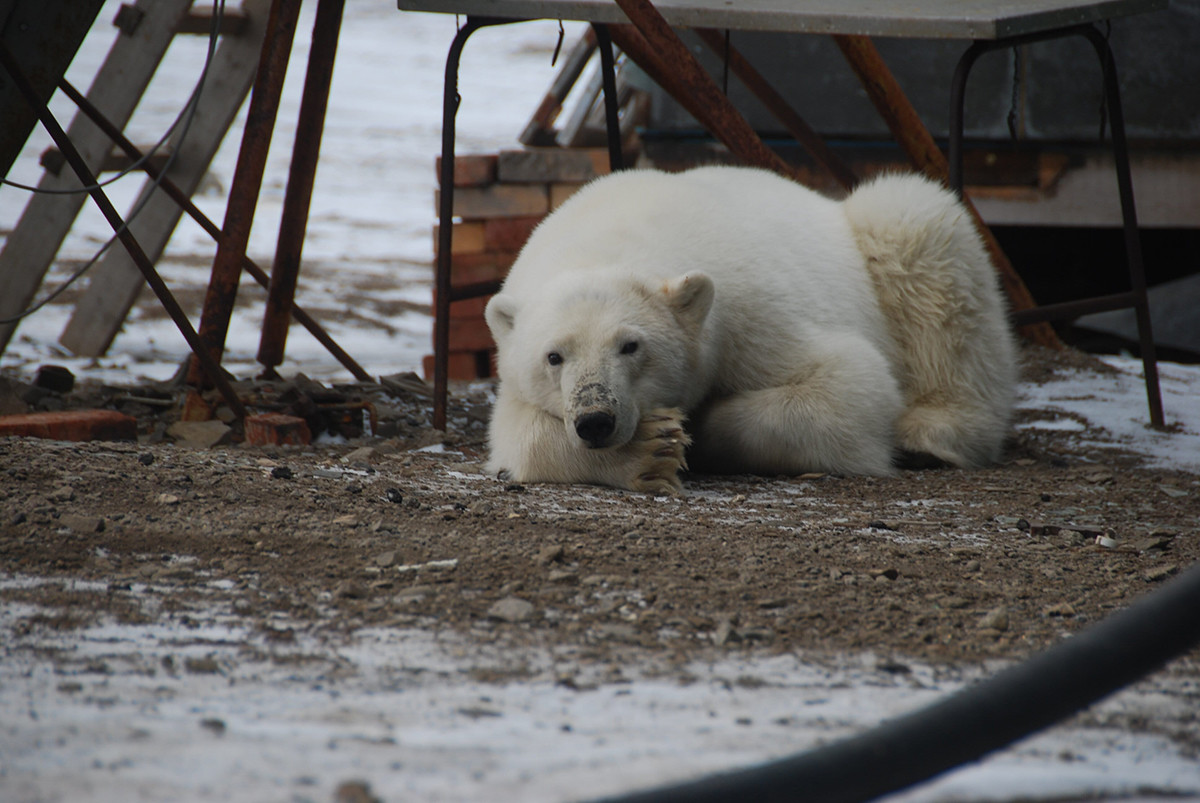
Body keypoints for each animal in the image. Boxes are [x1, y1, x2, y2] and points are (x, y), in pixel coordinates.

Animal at [482, 165, 1017, 492]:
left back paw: (931, 433)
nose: (596, 420)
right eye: (554, 356)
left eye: (630, 346)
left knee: (918, 227)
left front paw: (698, 427)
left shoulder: (749, 313)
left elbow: (850, 384)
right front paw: (650, 450)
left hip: (895, 247)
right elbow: (517, 433)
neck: (616, 235)